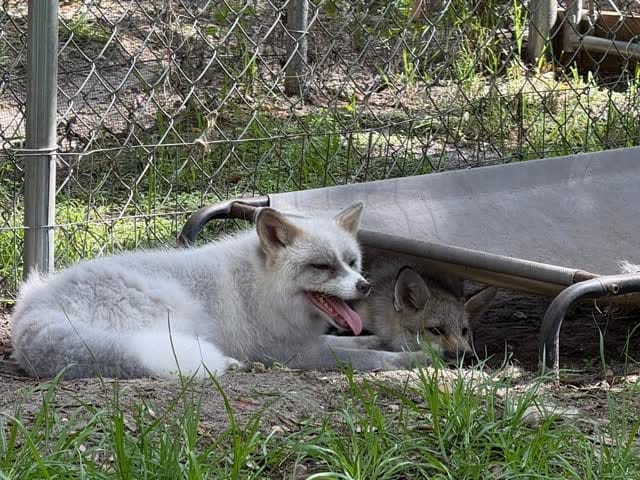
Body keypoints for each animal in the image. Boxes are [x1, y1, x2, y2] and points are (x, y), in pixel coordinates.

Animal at [11, 202, 431, 380]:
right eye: (322, 267)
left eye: (352, 262)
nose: (364, 286)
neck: (261, 286)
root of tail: (32, 312)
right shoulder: (295, 354)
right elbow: (365, 359)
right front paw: (415, 361)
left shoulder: (307, 341)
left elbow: (360, 343)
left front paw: (390, 343)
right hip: (176, 314)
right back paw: (229, 364)